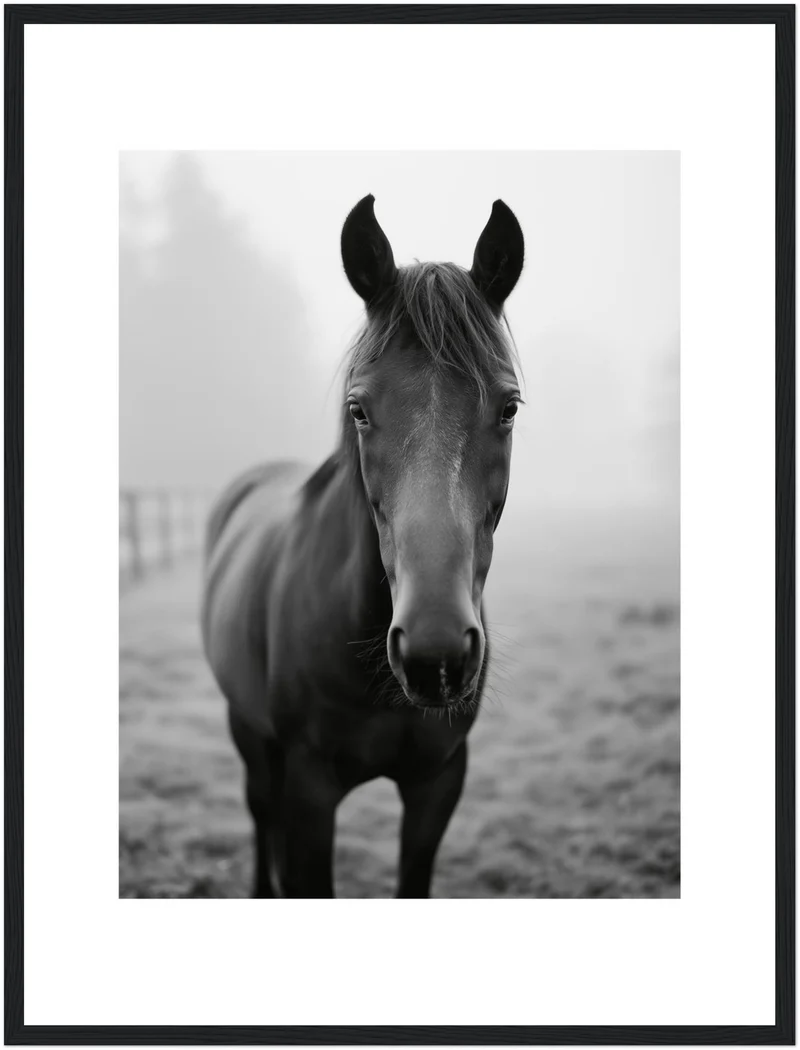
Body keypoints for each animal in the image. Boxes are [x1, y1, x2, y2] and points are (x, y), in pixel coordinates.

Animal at [201, 195, 524, 898]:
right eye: (358, 410)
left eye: (509, 407)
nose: (435, 655)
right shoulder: (309, 792)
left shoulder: (438, 786)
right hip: (248, 730)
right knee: (259, 810)